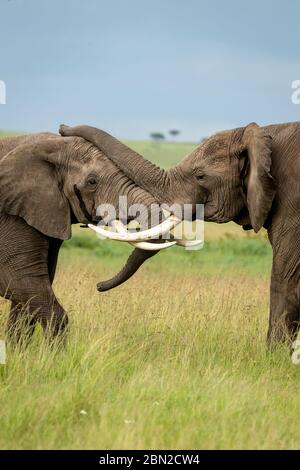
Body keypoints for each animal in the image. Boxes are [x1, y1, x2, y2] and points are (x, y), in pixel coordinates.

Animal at [0, 130, 178, 344]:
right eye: (92, 182)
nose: (99, 286)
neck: (50, 144)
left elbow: (28, 292)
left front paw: (20, 350)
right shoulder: (11, 215)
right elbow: (19, 280)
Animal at [59, 123, 300, 346]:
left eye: (200, 176)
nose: (62, 128)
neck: (265, 134)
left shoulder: (292, 202)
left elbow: (284, 277)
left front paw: (272, 355)